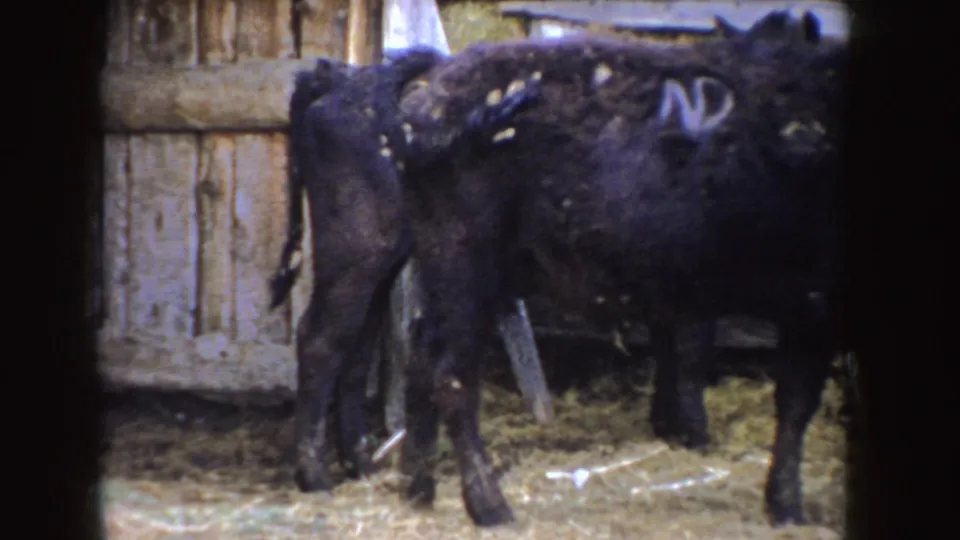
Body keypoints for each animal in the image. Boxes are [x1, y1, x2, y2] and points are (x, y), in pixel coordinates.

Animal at [267, 47, 545, 493]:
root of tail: (338, 79)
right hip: (357, 250)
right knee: (319, 337)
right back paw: (315, 477)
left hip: (383, 263)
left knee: (357, 349)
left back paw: (361, 465)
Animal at [395, 10, 846, 527]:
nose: (802, 140)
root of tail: (427, 95)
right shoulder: (814, 303)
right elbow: (795, 403)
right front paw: (787, 506)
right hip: (465, 266)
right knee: (451, 376)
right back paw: (489, 505)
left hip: (443, 271)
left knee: (419, 355)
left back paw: (418, 489)